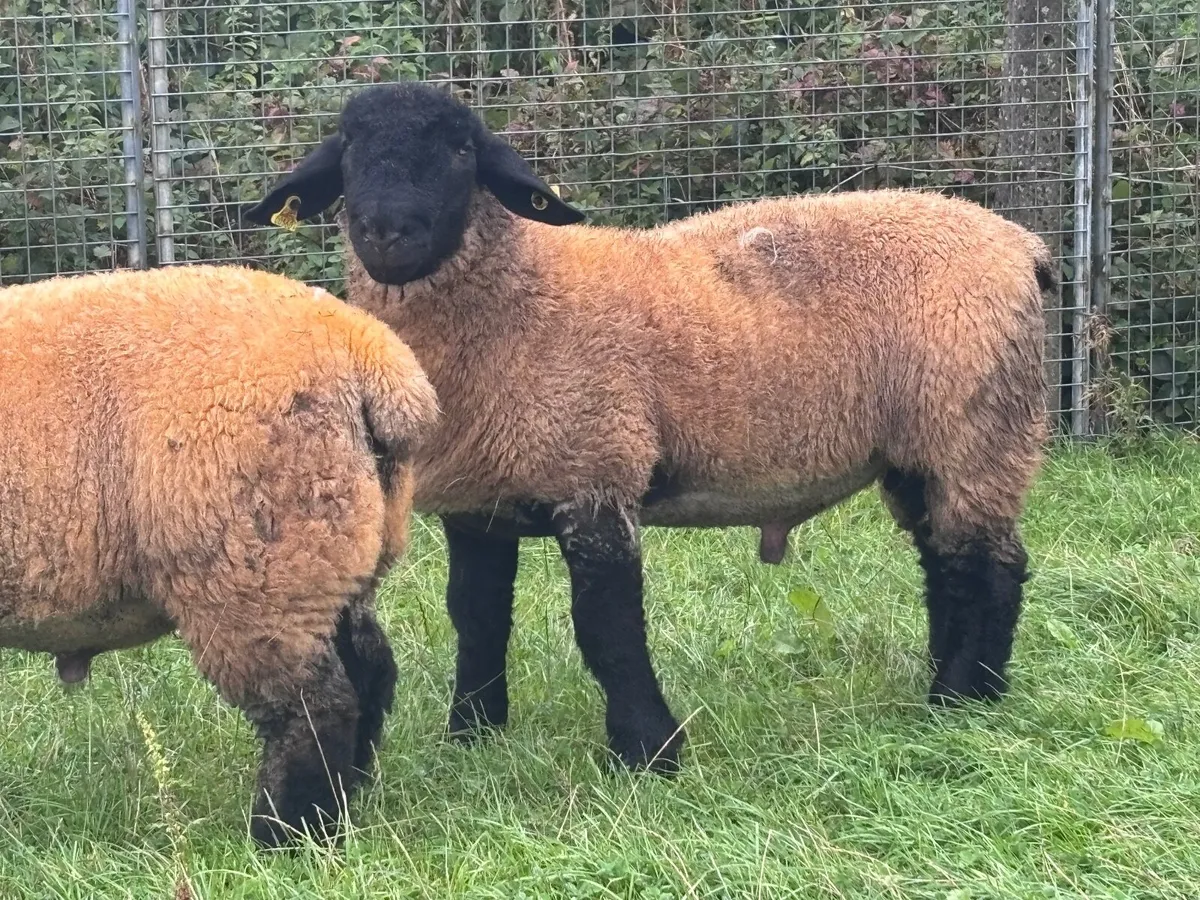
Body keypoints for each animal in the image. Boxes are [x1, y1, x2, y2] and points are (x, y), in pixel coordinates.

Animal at [0, 264, 438, 846]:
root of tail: (369, 351)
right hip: (331, 555)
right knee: (369, 671)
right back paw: (348, 798)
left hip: (256, 569)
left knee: (313, 704)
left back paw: (287, 834)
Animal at [243, 81, 1054, 775]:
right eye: (349, 146)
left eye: (462, 150)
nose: (388, 231)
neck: (521, 293)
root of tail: (1023, 247)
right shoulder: (482, 502)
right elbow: (475, 619)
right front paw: (473, 735)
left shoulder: (598, 468)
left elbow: (608, 628)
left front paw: (649, 752)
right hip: (921, 450)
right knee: (946, 562)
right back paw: (945, 687)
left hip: (977, 429)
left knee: (991, 567)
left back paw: (963, 698)